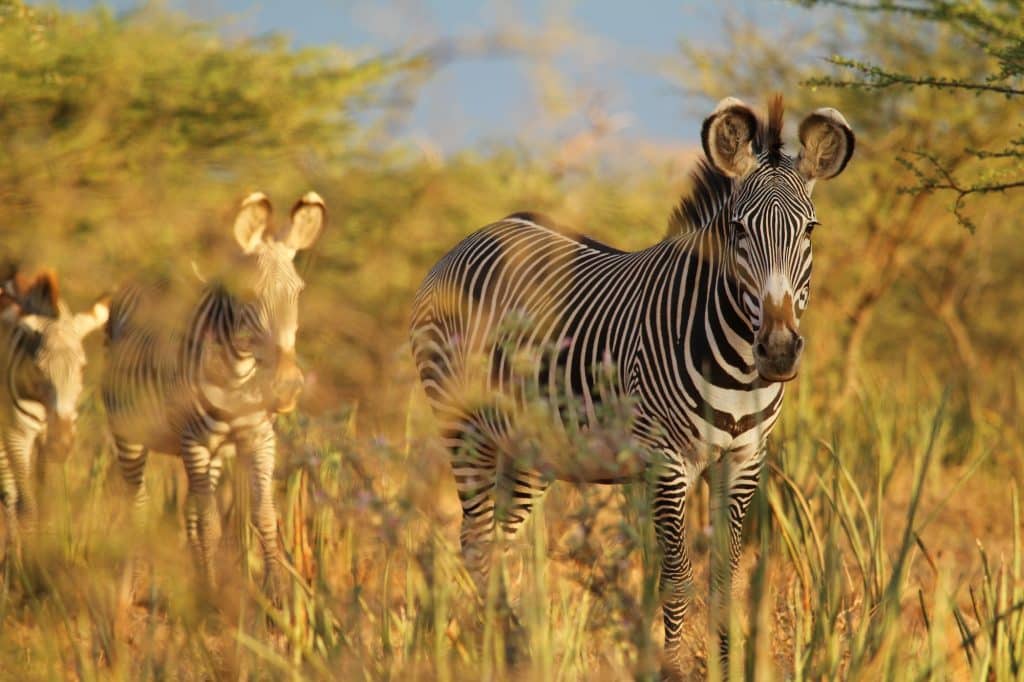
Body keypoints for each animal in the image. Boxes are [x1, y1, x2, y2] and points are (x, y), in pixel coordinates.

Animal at [0, 268, 109, 546]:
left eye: (82, 367)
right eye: (38, 367)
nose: (59, 443)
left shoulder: (47, 444)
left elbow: (45, 503)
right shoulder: (17, 434)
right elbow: (27, 508)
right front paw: (26, 556)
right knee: (9, 493)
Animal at [102, 191, 325, 590]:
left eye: (299, 291)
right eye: (249, 293)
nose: (286, 387)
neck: (238, 379)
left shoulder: (260, 439)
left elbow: (264, 517)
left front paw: (276, 594)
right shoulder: (195, 443)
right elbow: (210, 526)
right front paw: (211, 594)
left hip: (211, 453)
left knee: (189, 512)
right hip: (131, 435)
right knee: (139, 507)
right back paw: (135, 583)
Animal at [409, 95, 854, 671]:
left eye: (810, 231)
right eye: (738, 231)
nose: (777, 350)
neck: (736, 363)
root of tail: (478, 234)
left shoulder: (744, 460)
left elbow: (725, 579)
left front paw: (726, 668)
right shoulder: (667, 463)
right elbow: (677, 580)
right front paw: (672, 671)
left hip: (531, 447)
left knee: (500, 542)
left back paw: (515, 650)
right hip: (464, 428)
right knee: (476, 543)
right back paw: (495, 652)